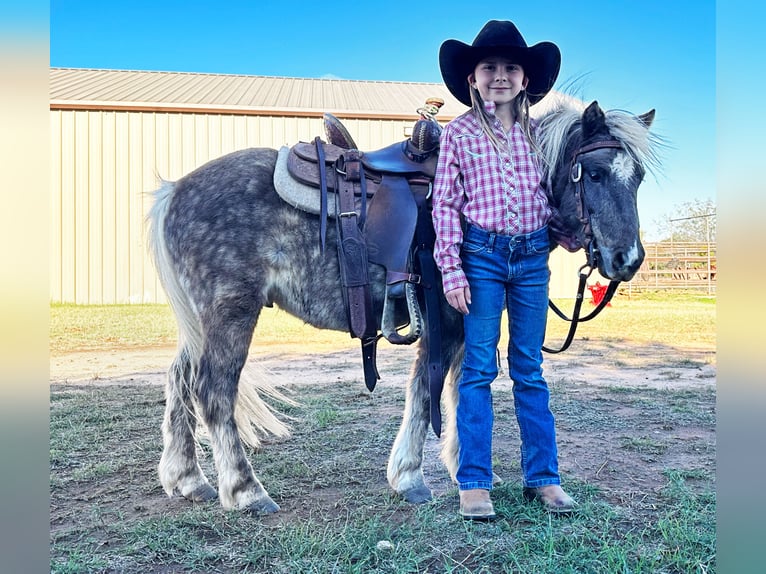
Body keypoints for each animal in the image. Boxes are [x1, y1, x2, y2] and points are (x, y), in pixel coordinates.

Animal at [147, 98, 661, 512]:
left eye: (637, 178)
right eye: (594, 173)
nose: (628, 259)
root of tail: (175, 190)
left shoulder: (465, 326)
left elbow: (457, 391)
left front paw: (464, 471)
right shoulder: (445, 322)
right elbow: (426, 392)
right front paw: (411, 477)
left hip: (202, 322)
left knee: (179, 380)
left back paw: (187, 479)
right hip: (231, 312)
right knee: (213, 389)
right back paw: (245, 490)